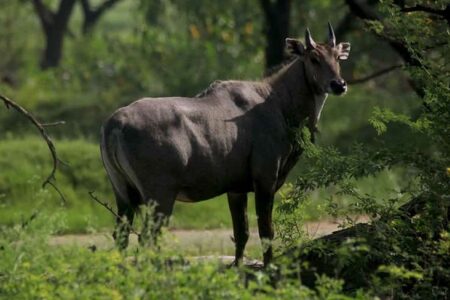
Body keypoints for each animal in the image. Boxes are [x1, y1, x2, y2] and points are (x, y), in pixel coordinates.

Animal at [102, 24, 352, 266]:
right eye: (313, 58)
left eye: (337, 57)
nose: (339, 85)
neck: (279, 102)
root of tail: (115, 123)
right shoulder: (265, 179)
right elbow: (266, 232)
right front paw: (268, 269)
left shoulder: (236, 188)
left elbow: (241, 232)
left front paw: (238, 267)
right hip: (159, 195)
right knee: (148, 237)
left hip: (122, 191)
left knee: (121, 235)